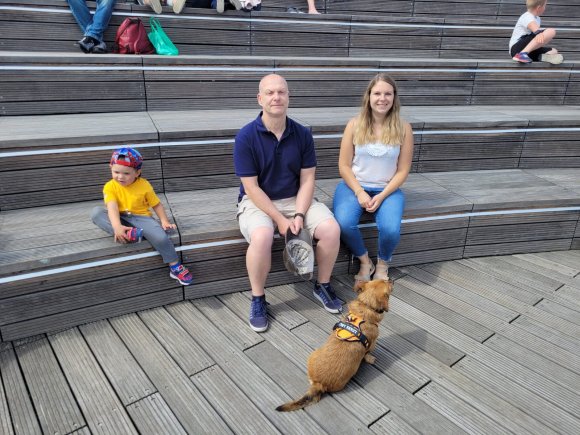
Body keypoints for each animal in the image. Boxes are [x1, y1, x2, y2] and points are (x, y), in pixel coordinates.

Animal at [276, 279, 392, 412]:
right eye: (387, 283)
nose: (391, 280)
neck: (364, 308)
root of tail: (319, 384)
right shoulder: (371, 343)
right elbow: (367, 354)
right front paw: (371, 359)